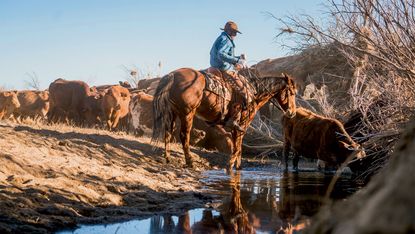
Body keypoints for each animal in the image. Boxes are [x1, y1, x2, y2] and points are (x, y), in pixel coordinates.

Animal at [153, 67, 300, 172]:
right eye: (292, 92)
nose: (292, 113)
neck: (254, 93)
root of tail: (172, 75)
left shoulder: (237, 129)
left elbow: (237, 146)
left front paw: (238, 167)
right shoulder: (242, 125)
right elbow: (237, 147)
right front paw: (230, 166)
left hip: (172, 113)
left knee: (168, 132)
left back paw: (167, 158)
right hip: (187, 114)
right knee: (184, 136)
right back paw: (189, 162)